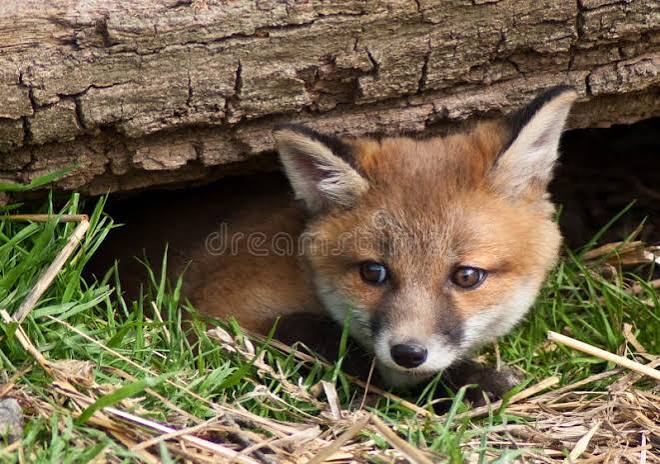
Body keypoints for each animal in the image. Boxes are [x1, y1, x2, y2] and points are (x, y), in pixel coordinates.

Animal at [96, 85, 577, 400]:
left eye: (467, 276)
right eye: (374, 272)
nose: (408, 353)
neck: (300, 272)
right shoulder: (208, 313)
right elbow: (312, 331)